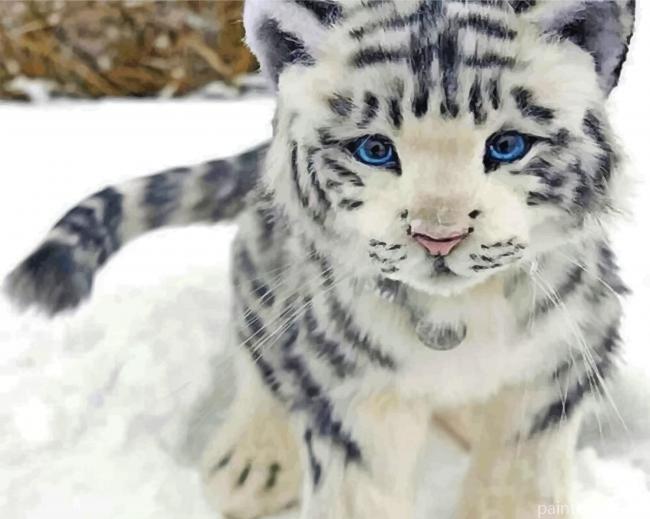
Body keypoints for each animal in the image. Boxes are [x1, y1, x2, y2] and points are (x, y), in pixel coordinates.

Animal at [5, 1, 636, 518]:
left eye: (507, 145)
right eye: (375, 149)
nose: (439, 235)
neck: (457, 324)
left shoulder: (562, 359)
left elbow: (516, 483)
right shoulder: (353, 387)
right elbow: (359, 493)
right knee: (258, 343)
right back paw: (251, 464)